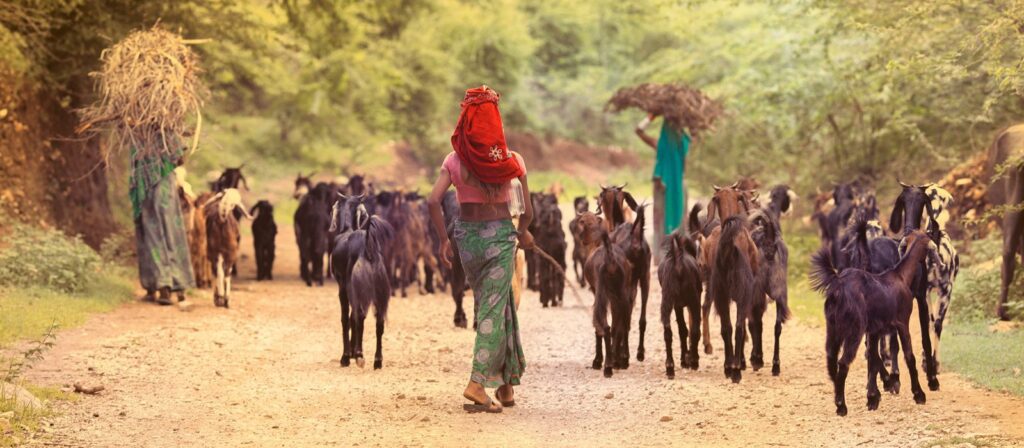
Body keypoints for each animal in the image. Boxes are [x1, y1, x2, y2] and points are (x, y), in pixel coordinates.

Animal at [331, 193, 394, 369]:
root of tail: (368, 246)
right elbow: (353, 318)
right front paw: (352, 353)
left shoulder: (343, 288)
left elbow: (346, 318)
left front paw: (346, 356)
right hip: (380, 293)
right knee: (379, 322)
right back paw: (377, 360)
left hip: (357, 289)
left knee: (359, 316)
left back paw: (359, 355)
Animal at [587, 230, 633, 378]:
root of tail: (611, 260)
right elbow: (618, 327)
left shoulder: (596, 291)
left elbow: (598, 327)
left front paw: (597, 361)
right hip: (622, 296)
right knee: (622, 326)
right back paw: (619, 361)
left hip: (603, 294)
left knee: (606, 327)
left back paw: (608, 367)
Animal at [658, 229, 703, 379]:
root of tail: (677, 260)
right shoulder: (688, 303)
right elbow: (688, 329)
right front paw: (688, 360)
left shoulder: (677, 305)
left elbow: (682, 330)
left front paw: (684, 360)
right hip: (694, 300)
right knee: (695, 330)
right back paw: (694, 361)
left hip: (666, 301)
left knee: (668, 332)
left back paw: (670, 367)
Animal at [810, 230, 934, 416]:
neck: (901, 276)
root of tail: (839, 286)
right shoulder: (902, 322)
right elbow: (909, 356)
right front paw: (918, 394)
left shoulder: (875, 330)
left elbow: (874, 358)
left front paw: (873, 397)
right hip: (854, 329)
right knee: (843, 362)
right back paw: (841, 406)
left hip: (833, 327)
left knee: (831, 357)